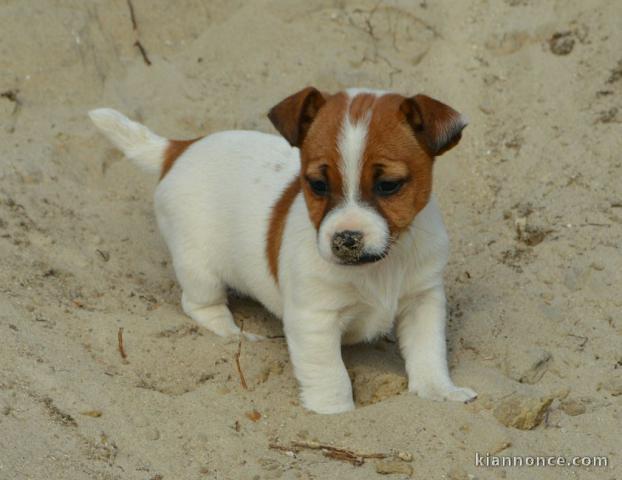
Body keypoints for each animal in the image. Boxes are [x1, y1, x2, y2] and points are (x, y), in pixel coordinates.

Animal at [89, 88, 478, 414]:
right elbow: (331, 375)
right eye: (317, 185)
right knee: (200, 304)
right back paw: (233, 332)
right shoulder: (314, 319)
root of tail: (180, 148)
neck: (379, 267)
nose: (345, 238)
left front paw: (439, 391)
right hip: (199, 268)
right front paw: (336, 413)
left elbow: (428, 353)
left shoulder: (423, 301)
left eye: (388, 186)